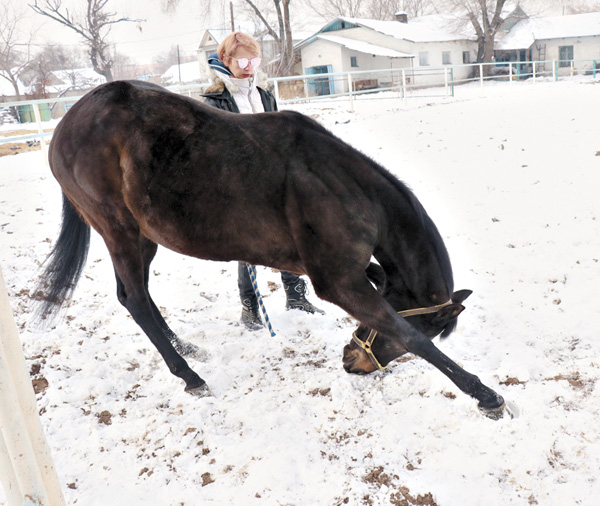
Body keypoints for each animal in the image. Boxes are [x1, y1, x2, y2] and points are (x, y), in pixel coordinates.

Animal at [37, 80, 506, 420]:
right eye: (425, 326)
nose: (351, 360)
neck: (346, 187)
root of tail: (64, 126)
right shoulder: (339, 282)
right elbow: (408, 334)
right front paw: (485, 395)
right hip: (120, 230)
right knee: (134, 298)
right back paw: (190, 376)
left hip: (143, 236)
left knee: (137, 297)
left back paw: (185, 348)